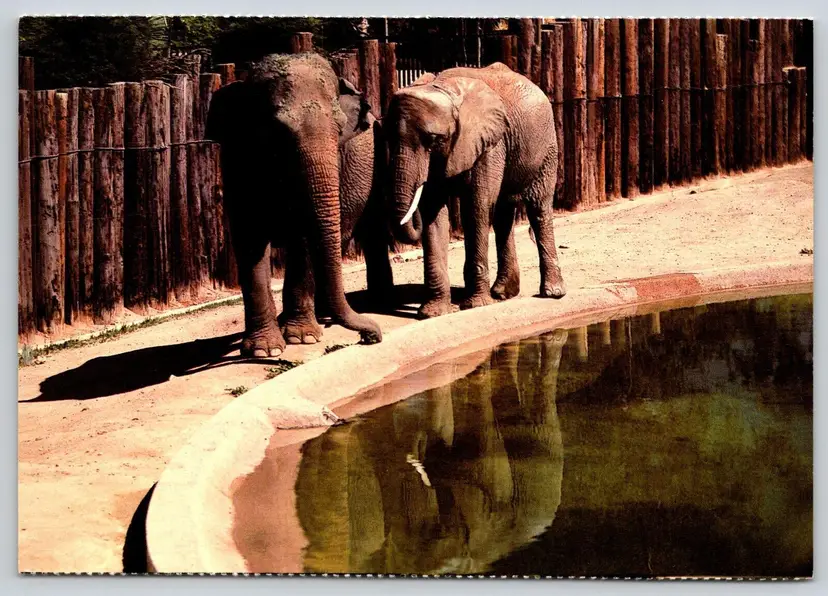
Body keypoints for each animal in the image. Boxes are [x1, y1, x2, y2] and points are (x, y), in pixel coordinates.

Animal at [206, 53, 392, 357]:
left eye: (339, 128)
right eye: (277, 131)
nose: (371, 337)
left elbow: (304, 237)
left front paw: (301, 338)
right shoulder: (237, 161)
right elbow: (249, 239)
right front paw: (264, 350)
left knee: (370, 232)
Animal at [384, 62, 566, 319]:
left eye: (433, 139)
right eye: (388, 138)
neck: (444, 89)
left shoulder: (489, 144)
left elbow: (476, 207)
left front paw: (475, 305)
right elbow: (433, 214)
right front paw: (433, 313)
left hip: (546, 146)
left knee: (538, 208)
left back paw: (552, 293)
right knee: (503, 215)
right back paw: (502, 293)